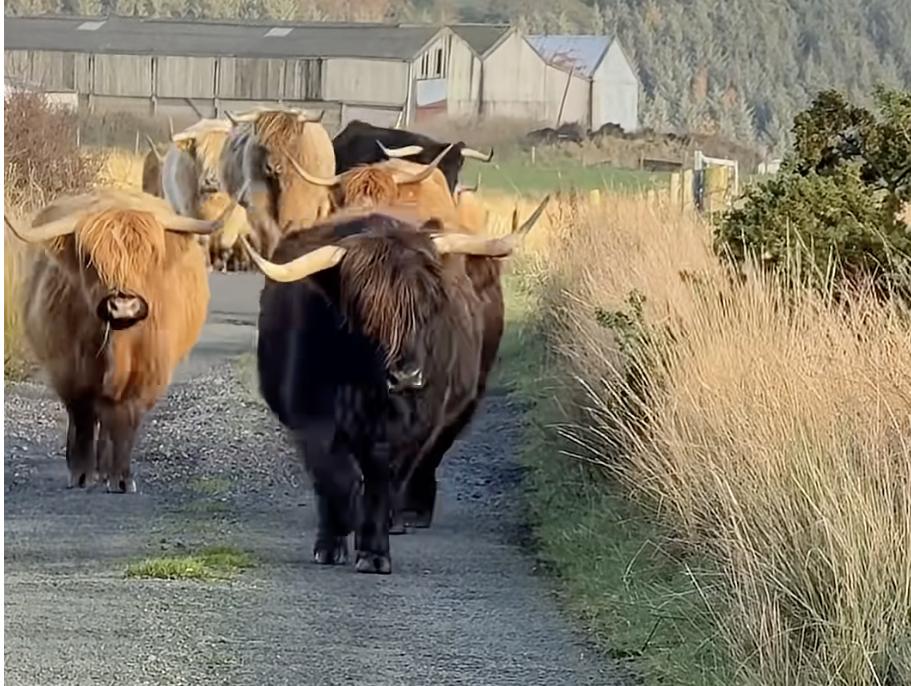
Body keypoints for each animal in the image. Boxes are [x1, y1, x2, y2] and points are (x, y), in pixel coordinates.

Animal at [6, 188, 232, 493]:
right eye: (90, 258)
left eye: (149, 255)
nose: (123, 306)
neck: (118, 344)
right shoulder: (70, 370)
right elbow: (83, 418)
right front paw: (81, 474)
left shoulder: (147, 373)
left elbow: (126, 422)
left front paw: (122, 478)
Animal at [218, 105, 335, 259]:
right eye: (263, 143)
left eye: (291, 141)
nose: (272, 167)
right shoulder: (258, 199)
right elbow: (267, 232)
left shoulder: (301, 207)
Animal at [238, 203, 545, 574]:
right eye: (366, 311)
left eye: (430, 306)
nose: (406, 376)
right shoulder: (310, 416)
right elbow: (334, 477)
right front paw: (333, 541)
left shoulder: (413, 426)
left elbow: (384, 482)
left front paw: (373, 552)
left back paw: (409, 515)